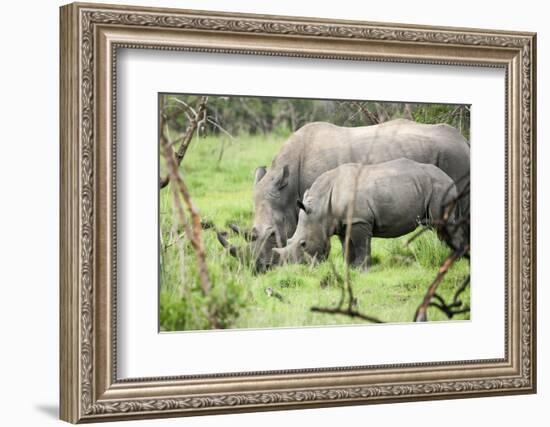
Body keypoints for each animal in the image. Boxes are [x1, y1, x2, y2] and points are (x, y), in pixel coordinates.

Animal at [274, 160, 462, 270]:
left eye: (303, 244)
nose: (295, 268)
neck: (320, 206)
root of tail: (450, 179)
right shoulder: (342, 222)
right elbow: (347, 246)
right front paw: (349, 268)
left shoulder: (360, 220)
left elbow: (361, 245)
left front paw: (361, 269)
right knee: (441, 229)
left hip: (441, 188)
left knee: (444, 225)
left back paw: (455, 259)